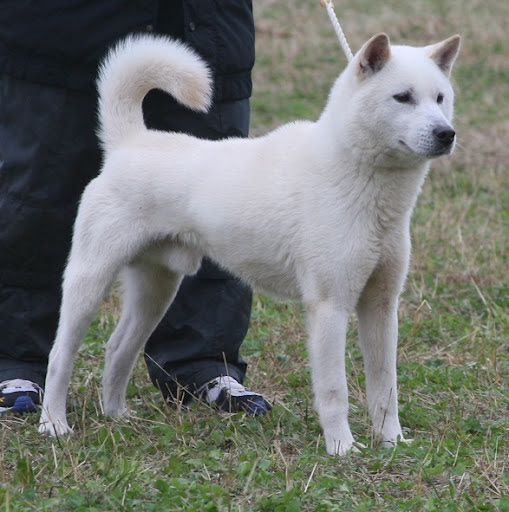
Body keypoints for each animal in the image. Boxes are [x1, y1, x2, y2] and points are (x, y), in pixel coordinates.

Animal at [38, 33, 460, 456]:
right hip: (89, 283)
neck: (358, 180)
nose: (446, 134)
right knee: (59, 356)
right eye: (402, 97)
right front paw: (341, 447)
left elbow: (385, 387)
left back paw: (117, 416)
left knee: (117, 348)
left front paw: (392, 442)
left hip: (156, 291)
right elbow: (334, 391)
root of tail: (130, 142)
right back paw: (54, 424)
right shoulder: (330, 307)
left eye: (440, 98)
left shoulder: (381, 306)